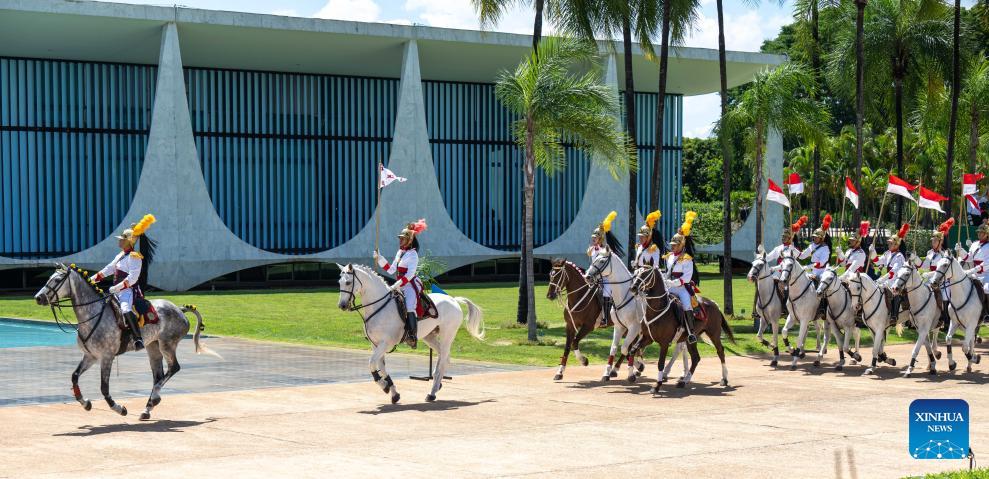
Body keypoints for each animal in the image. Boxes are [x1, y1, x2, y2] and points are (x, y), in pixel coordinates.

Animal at [34, 266, 216, 420]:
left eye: (57, 280)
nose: (38, 298)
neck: (92, 315)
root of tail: (179, 309)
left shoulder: (107, 357)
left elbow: (104, 388)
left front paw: (119, 408)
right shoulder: (90, 356)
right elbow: (74, 377)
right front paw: (85, 403)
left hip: (167, 345)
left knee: (173, 368)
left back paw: (155, 397)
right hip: (153, 347)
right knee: (158, 376)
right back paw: (148, 407)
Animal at [334, 264, 484, 404]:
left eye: (348, 282)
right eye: (339, 282)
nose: (342, 305)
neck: (378, 307)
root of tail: (453, 300)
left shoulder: (385, 344)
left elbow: (371, 363)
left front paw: (384, 385)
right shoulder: (375, 344)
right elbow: (381, 367)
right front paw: (393, 392)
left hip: (447, 335)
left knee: (443, 358)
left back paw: (432, 392)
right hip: (430, 337)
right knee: (444, 356)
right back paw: (437, 384)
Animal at [584, 251, 644, 382]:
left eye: (602, 261)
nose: (587, 276)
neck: (625, 296)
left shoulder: (634, 328)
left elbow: (625, 349)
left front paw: (632, 372)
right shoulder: (619, 327)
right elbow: (615, 348)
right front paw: (607, 373)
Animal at [624, 266, 732, 394]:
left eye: (646, 273)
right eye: (636, 273)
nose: (633, 288)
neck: (657, 309)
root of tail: (714, 304)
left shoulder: (664, 343)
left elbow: (660, 363)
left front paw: (657, 385)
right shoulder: (647, 338)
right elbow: (632, 350)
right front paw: (632, 374)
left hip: (714, 334)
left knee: (720, 352)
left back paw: (724, 378)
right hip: (691, 340)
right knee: (696, 358)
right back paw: (684, 381)